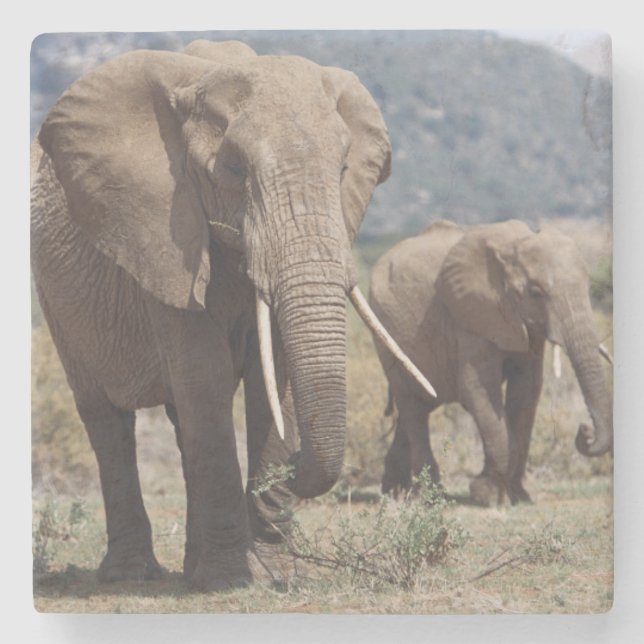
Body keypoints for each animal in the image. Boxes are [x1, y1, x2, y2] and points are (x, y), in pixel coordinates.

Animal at [31, 39, 434, 591]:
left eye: (343, 170)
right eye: (235, 171)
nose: (299, 466)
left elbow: (275, 382)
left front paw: (271, 574)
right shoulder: (166, 239)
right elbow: (206, 378)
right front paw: (229, 580)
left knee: (181, 422)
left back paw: (190, 569)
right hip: (57, 300)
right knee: (107, 418)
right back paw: (133, 577)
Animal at [368, 219, 612, 505]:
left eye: (588, 287)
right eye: (535, 292)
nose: (584, 429)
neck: (514, 245)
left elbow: (527, 389)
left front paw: (519, 497)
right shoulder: (470, 317)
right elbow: (478, 389)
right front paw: (487, 496)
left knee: (417, 407)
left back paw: (395, 493)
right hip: (386, 333)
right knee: (412, 405)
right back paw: (430, 496)